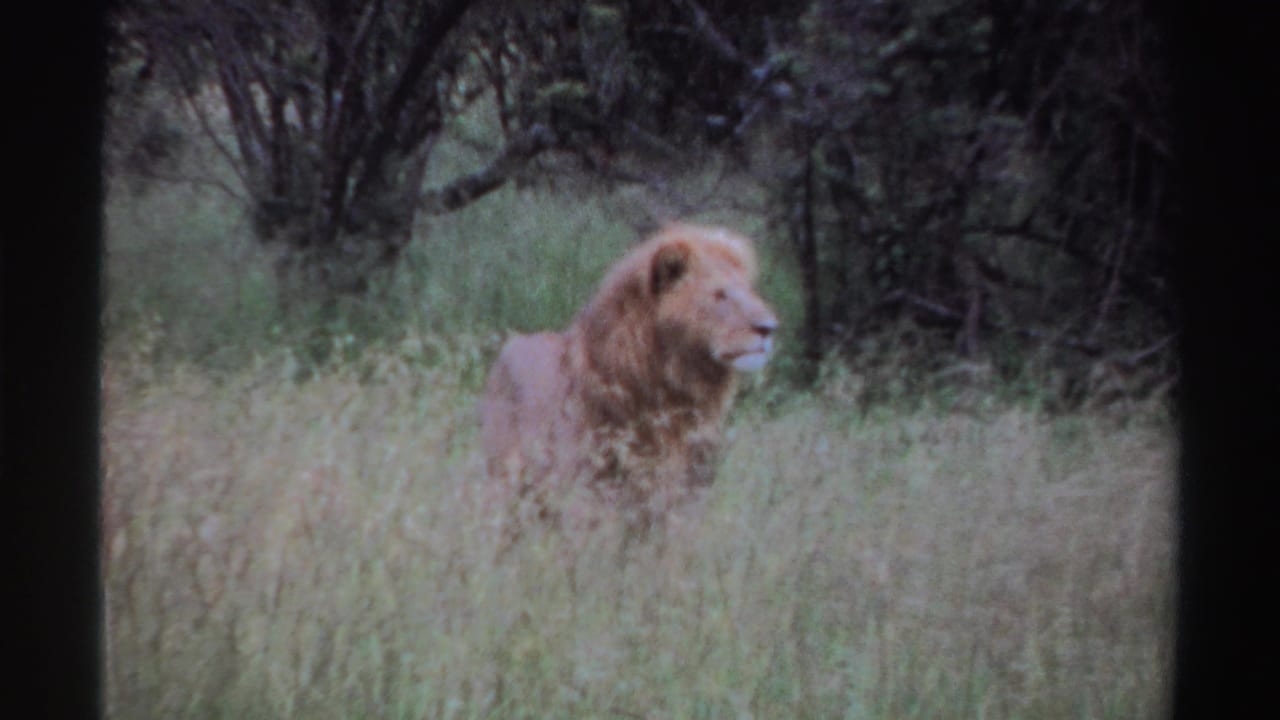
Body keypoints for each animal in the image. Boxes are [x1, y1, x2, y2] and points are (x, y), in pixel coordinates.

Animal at [480, 222, 778, 538]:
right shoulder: (589, 496)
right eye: (719, 295)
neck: (676, 392)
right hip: (504, 488)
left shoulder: (684, 498)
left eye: (749, 290)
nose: (769, 328)